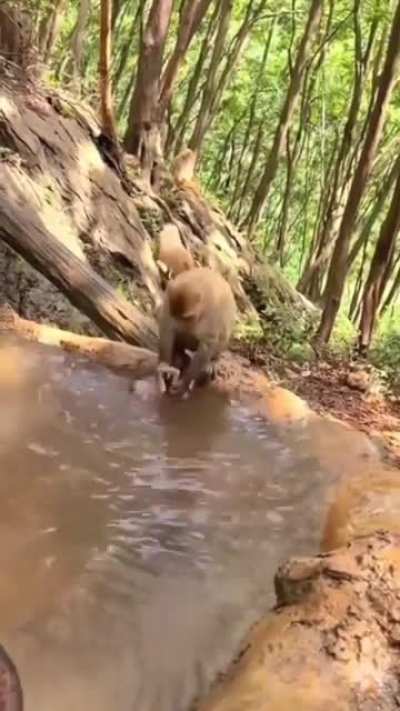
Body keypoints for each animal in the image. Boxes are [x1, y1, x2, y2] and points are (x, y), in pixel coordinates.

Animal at [158, 267, 236, 396]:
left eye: (186, 317)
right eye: (175, 315)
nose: (180, 323)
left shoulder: (212, 312)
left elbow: (207, 344)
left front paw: (184, 382)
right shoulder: (169, 300)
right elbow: (167, 326)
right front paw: (164, 367)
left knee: (223, 336)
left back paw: (213, 361)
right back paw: (179, 353)